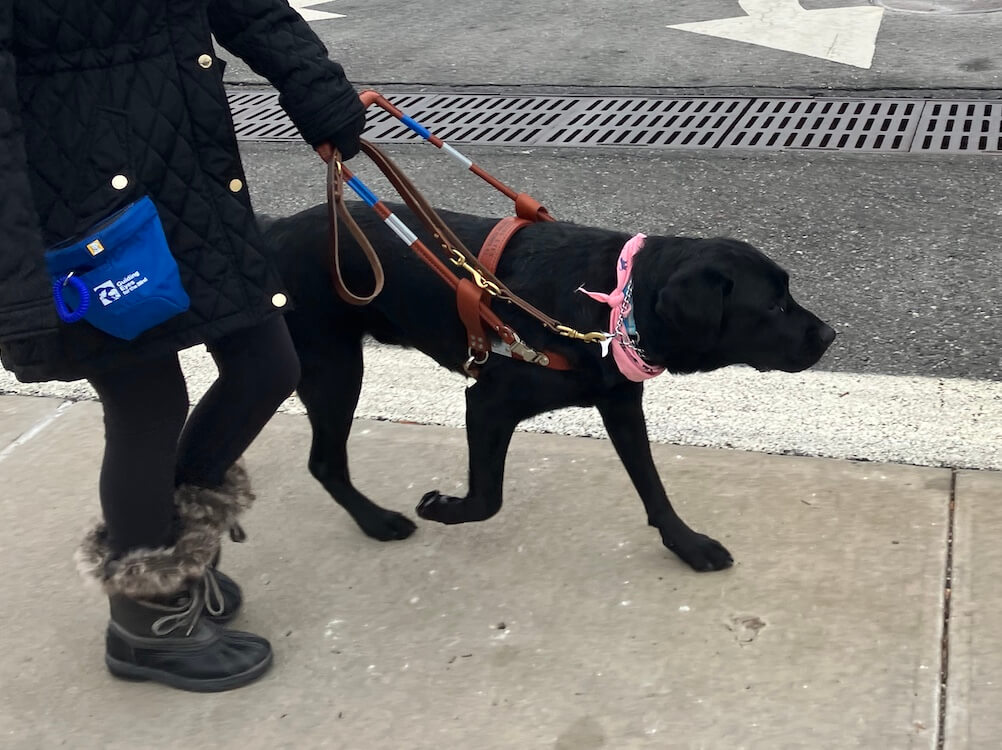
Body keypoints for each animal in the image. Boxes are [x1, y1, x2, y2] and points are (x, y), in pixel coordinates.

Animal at [264, 202, 837, 568]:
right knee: (324, 461)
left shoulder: (620, 404)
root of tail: (274, 228)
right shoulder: (487, 403)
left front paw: (687, 545)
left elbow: (653, 487)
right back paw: (377, 521)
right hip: (334, 366)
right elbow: (487, 498)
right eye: (773, 306)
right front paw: (444, 508)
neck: (617, 301)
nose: (830, 334)